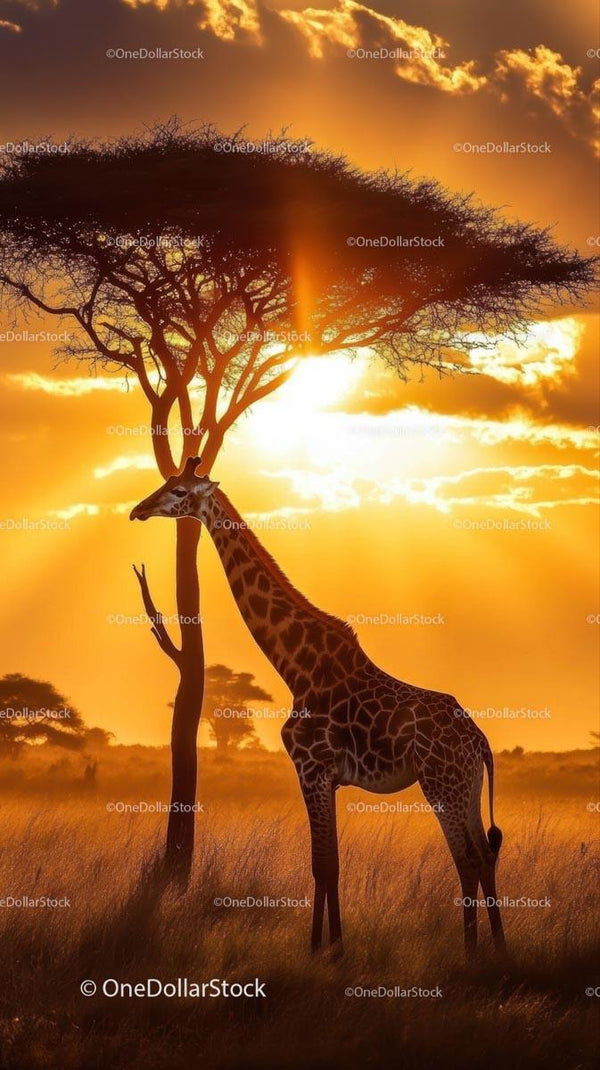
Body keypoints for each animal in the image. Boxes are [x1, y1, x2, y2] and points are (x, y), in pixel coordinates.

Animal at [131, 458, 506, 960]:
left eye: (178, 491)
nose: (138, 509)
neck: (296, 666)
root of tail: (479, 741)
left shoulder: (311, 768)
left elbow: (322, 864)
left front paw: (323, 950)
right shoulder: (328, 778)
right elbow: (331, 863)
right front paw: (332, 945)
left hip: (441, 782)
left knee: (465, 858)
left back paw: (469, 951)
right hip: (467, 785)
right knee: (484, 856)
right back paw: (498, 948)